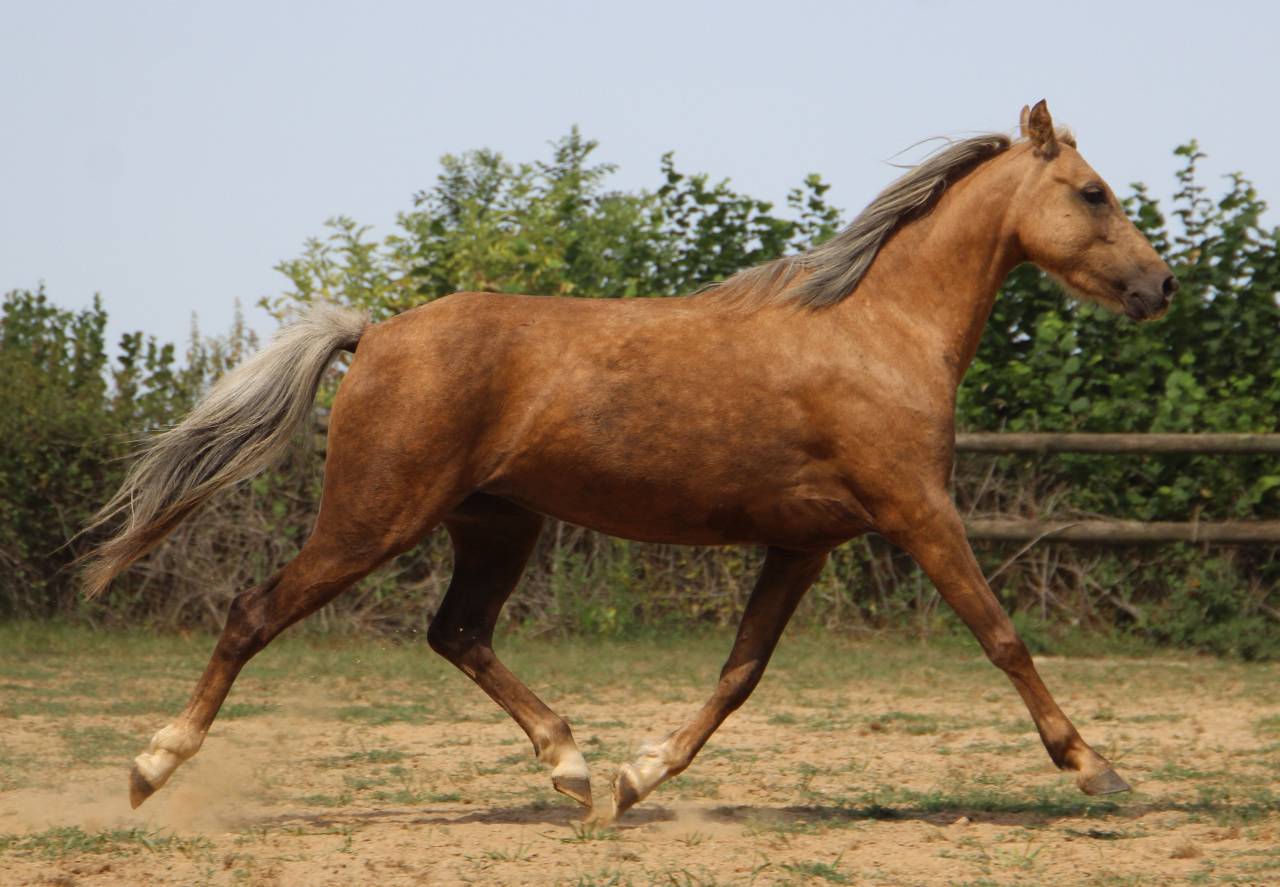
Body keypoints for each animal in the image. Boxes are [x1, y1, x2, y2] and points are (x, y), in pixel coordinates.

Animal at [83, 100, 1176, 823]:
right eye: (1091, 192)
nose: (1160, 286)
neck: (878, 331)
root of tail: (376, 333)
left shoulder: (805, 541)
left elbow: (741, 672)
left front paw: (636, 774)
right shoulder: (918, 509)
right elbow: (1003, 638)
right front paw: (1096, 767)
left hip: (496, 521)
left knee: (457, 631)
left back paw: (570, 766)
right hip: (372, 517)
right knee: (254, 613)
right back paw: (149, 767)